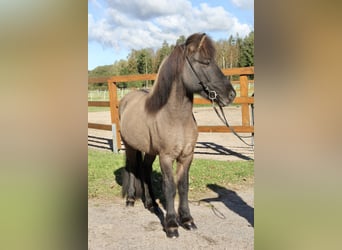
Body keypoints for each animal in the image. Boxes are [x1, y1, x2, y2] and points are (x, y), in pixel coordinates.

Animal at [118, 33, 235, 238]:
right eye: (205, 62)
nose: (231, 94)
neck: (176, 118)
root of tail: (126, 99)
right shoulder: (166, 157)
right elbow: (170, 188)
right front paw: (172, 224)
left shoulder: (187, 156)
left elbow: (183, 187)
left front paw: (187, 220)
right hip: (130, 146)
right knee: (132, 169)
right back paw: (131, 199)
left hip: (149, 151)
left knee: (144, 170)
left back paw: (151, 204)